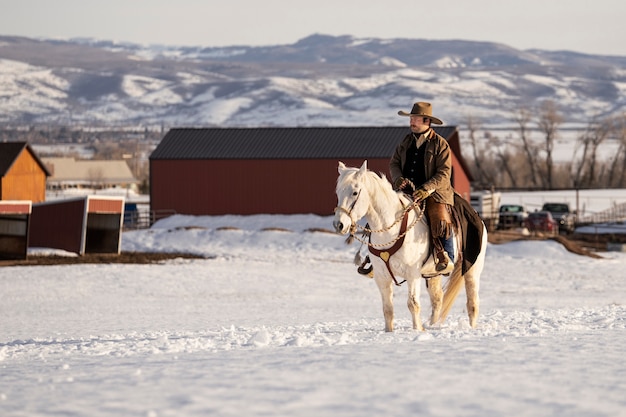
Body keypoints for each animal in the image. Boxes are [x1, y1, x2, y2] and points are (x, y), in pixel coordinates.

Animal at [334, 160, 486, 332]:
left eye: (355, 192)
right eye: (338, 192)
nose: (339, 225)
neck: (390, 230)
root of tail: (478, 217)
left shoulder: (412, 274)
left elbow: (413, 304)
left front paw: (418, 330)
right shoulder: (381, 277)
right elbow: (388, 308)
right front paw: (390, 332)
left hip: (472, 270)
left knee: (472, 303)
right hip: (433, 275)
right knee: (437, 300)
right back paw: (432, 325)